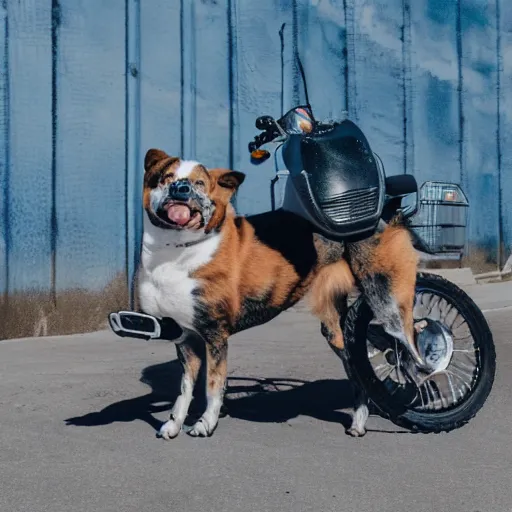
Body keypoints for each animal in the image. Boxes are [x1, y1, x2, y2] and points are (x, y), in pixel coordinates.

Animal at [138, 148, 418, 440]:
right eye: (166, 177)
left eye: (199, 183)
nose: (180, 189)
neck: (177, 252)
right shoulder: (186, 339)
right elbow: (184, 389)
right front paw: (174, 424)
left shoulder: (215, 335)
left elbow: (213, 386)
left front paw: (205, 423)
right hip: (336, 328)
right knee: (360, 369)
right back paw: (360, 421)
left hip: (383, 294)